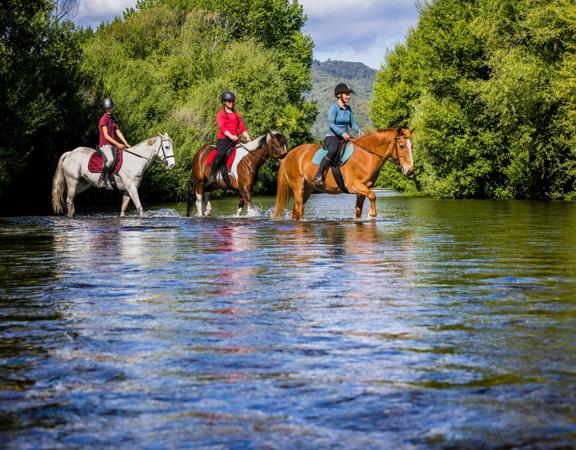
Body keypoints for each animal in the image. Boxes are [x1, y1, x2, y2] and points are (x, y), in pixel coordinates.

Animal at [272, 127, 414, 221]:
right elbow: (373, 196)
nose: (409, 170)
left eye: (411, 146)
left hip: (306, 191)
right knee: (299, 211)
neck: (366, 155)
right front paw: (372, 214)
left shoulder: (363, 190)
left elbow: (358, 211)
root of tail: (288, 155)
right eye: (401, 146)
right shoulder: (353, 185)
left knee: (295, 211)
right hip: (298, 188)